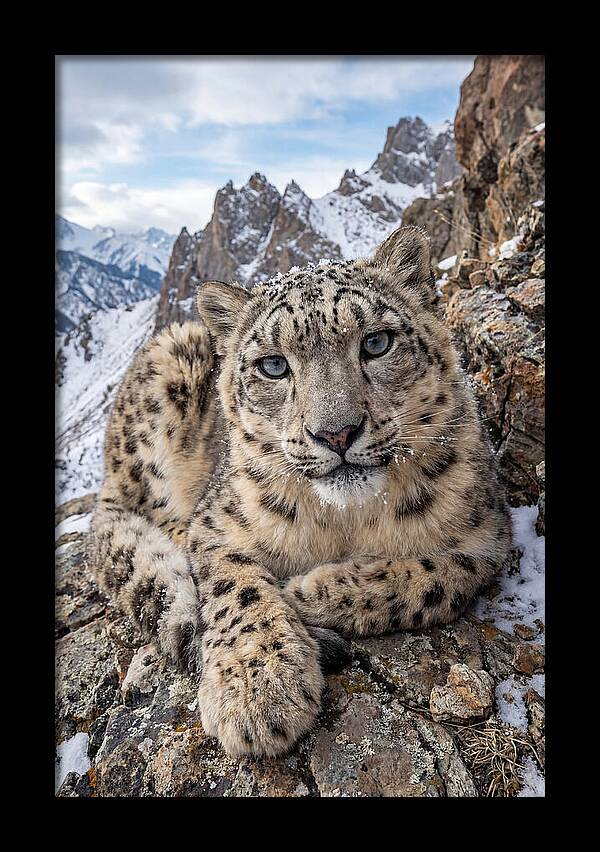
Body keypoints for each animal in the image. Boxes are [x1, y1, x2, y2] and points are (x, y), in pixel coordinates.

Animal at [89, 225, 511, 758]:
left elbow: (436, 578)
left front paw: (307, 591)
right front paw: (258, 689)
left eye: (377, 342)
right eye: (273, 365)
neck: (346, 520)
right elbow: (236, 587)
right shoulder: (216, 525)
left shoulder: (488, 536)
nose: (336, 433)